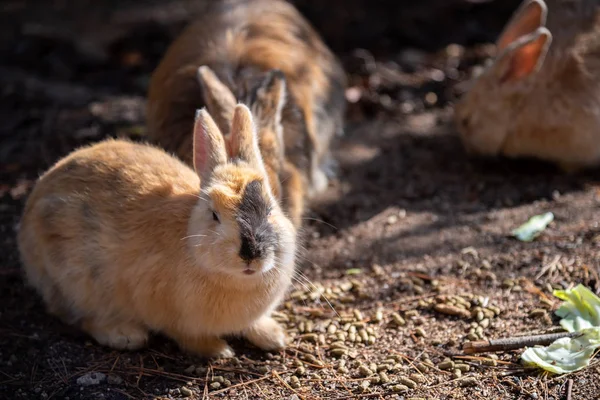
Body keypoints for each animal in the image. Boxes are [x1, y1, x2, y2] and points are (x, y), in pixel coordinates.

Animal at [18, 104, 298, 358]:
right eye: (214, 215)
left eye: (270, 209)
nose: (252, 254)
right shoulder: (169, 314)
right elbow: (187, 336)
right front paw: (219, 350)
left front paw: (275, 336)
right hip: (76, 281)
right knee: (75, 316)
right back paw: (125, 335)